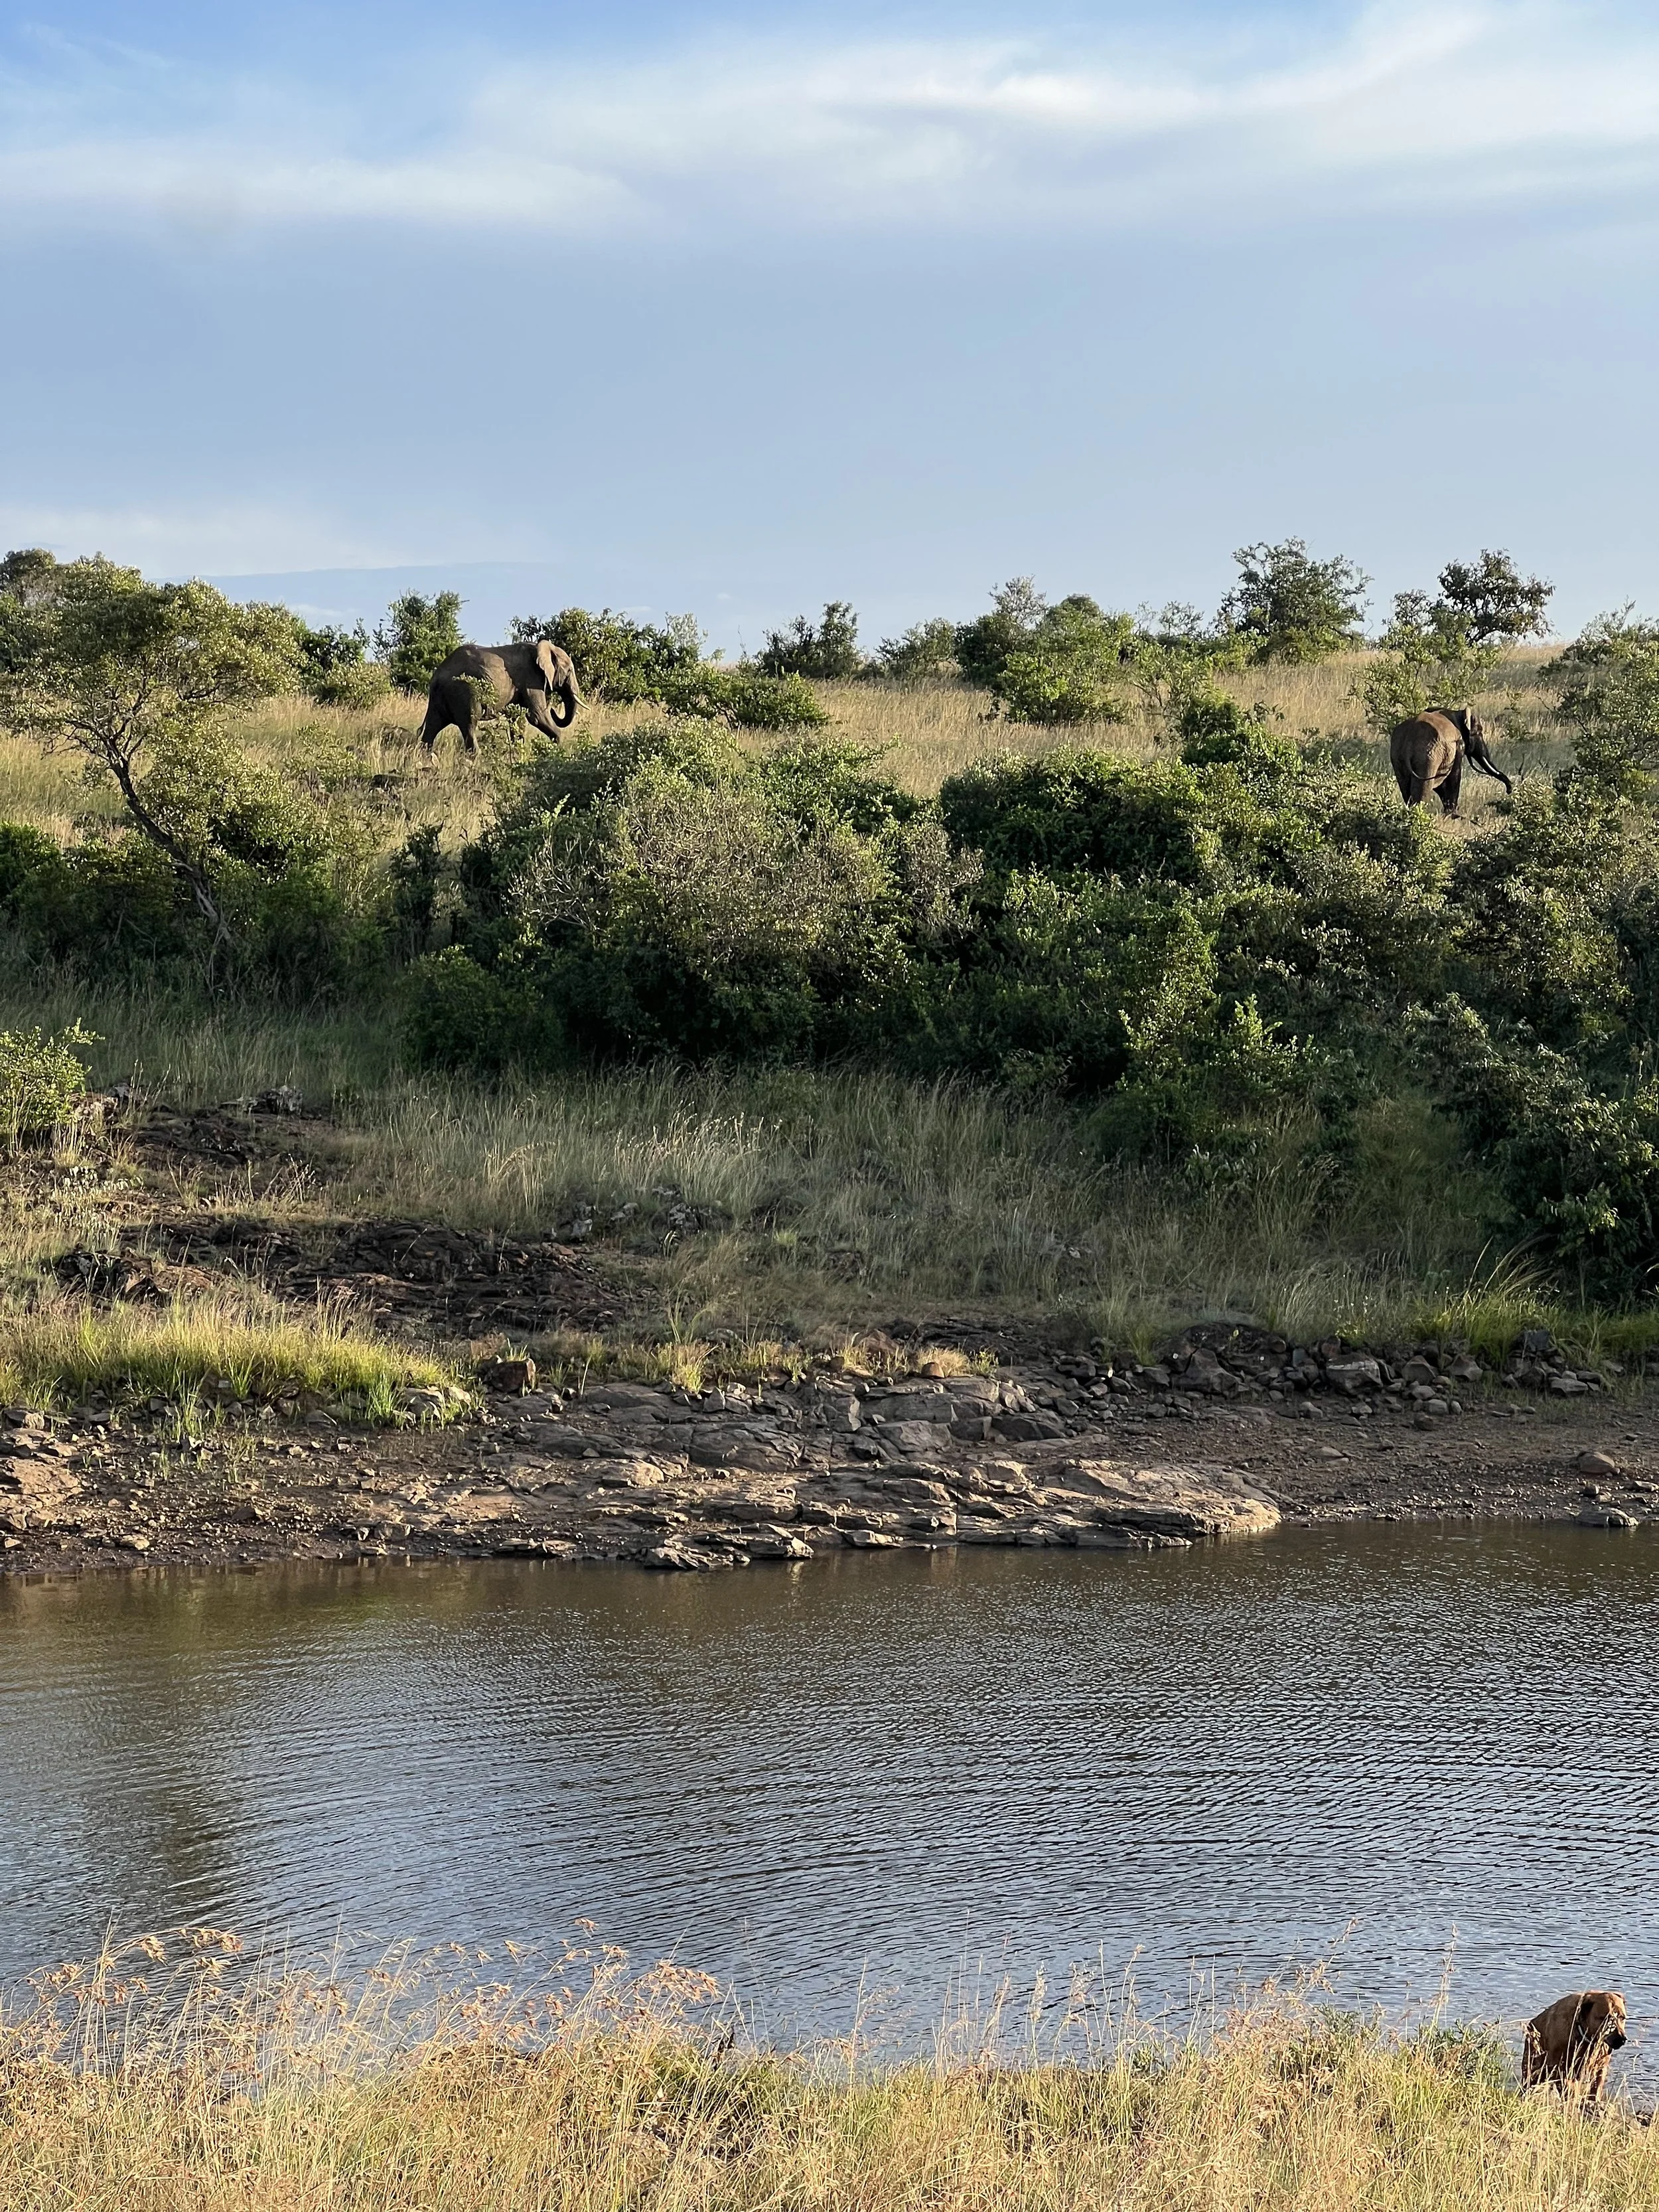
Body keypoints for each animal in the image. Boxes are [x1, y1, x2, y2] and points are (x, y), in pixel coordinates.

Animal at [417, 640, 581, 754]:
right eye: (569, 671)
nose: (553, 710)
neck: (540, 646)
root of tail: (437, 676)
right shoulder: (531, 678)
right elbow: (536, 716)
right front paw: (558, 747)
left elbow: (517, 718)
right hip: (465, 691)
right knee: (470, 723)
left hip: (440, 698)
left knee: (433, 726)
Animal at [1389, 706, 1511, 814]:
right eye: (1479, 733)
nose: (1509, 791)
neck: (1457, 713)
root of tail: (1409, 744)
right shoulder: (1458, 746)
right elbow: (1453, 778)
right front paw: (1452, 815)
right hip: (1427, 757)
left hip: (1398, 757)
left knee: (1405, 789)